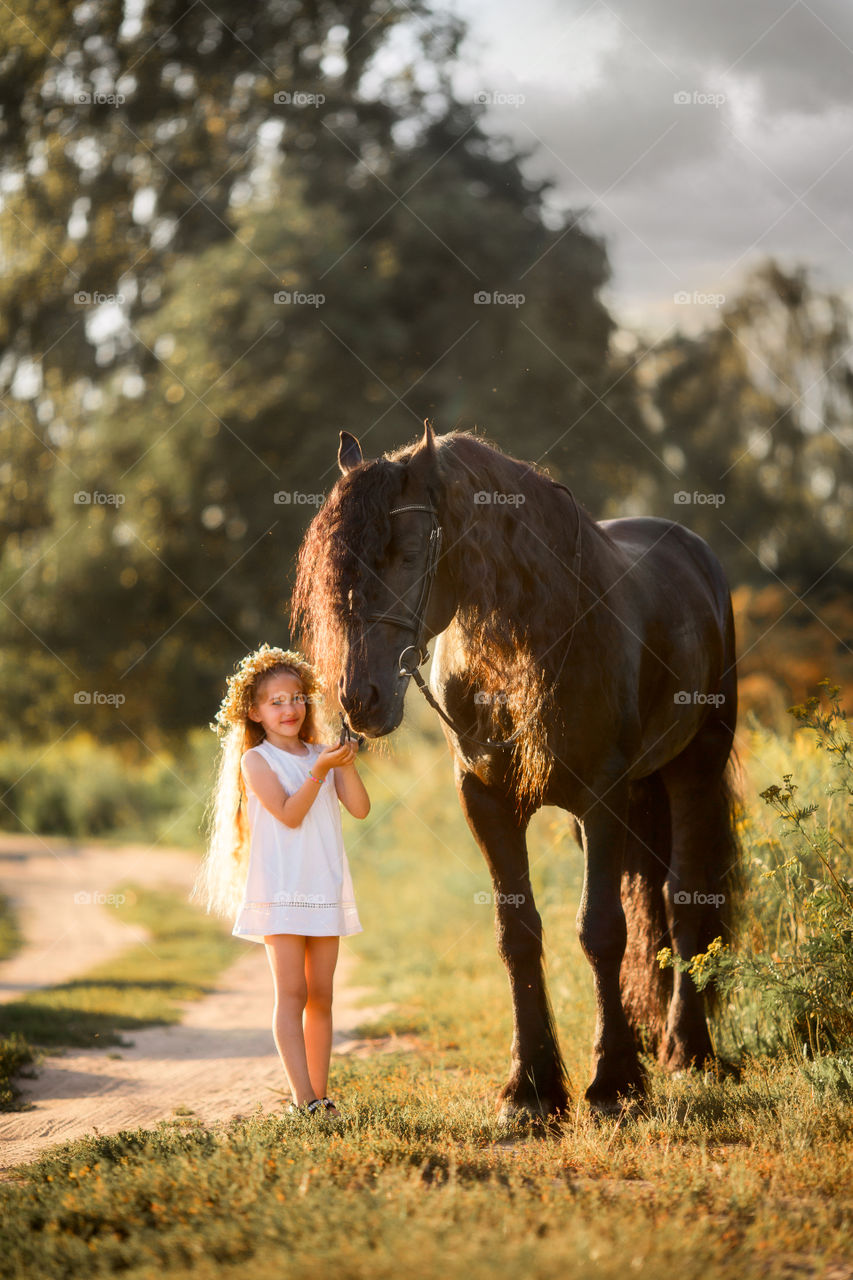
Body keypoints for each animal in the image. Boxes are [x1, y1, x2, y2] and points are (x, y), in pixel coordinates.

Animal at [292, 422, 737, 1121]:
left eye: (411, 552)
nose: (359, 699)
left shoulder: (603, 797)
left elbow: (600, 930)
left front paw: (612, 1083)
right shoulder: (487, 801)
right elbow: (517, 933)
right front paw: (532, 1088)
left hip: (693, 769)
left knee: (684, 900)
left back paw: (687, 1051)